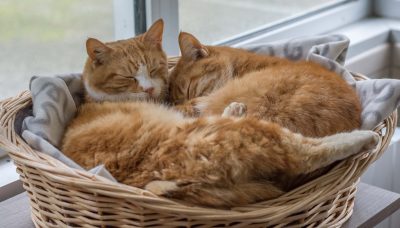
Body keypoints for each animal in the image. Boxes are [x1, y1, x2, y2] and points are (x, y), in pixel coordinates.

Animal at [62, 20, 378, 208]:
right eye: (128, 77)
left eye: (187, 88)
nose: (154, 93)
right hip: (244, 133)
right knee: (302, 152)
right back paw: (364, 138)